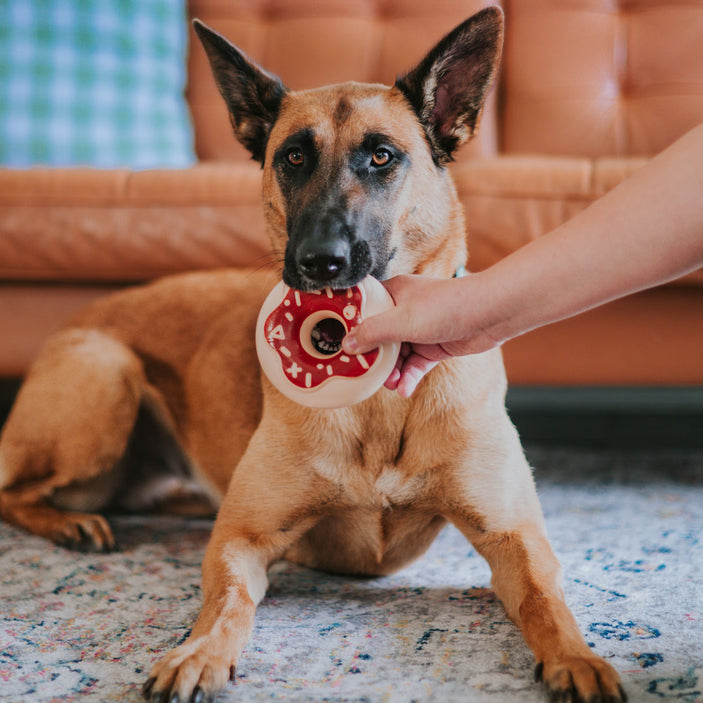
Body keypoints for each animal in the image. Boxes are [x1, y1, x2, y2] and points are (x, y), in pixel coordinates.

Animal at [0, 6, 628, 703]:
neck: (379, 403)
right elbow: (227, 602)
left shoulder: (514, 537)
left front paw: (578, 658)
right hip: (106, 378)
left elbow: (546, 598)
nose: (318, 263)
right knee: (15, 492)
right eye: (293, 157)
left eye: (381, 156)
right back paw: (71, 524)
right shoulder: (241, 539)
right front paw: (198, 653)